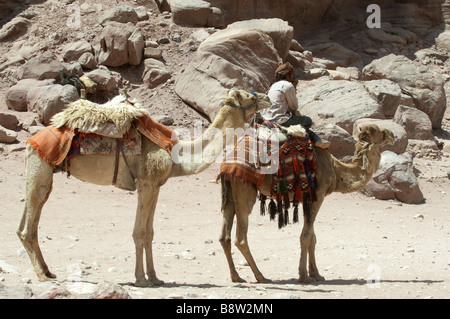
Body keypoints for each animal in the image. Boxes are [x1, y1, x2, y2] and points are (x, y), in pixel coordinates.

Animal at [16, 89, 270, 288]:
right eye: (249, 95)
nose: (266, 97)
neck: (176, 155)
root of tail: (31, 141)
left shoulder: (156, 186)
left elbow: (150, 232)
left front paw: (155, 278)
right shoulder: (146, 184)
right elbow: (138, 232)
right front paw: (140, 279)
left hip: (43, 174)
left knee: (31, 221)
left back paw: (48, 271)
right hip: (40, 167)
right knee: (27, 226)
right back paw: (41, 276)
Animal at [219, 124, 394, 284]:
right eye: (379, 131)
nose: (392, 135)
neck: (336, 170)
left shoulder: (308, 199)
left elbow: (313, 238)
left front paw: (317, 274)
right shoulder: (318, 195)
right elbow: (306, 236)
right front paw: (304, 276)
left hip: (229, 192)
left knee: (224, 236)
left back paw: (236, 276)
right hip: (244, 188)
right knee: (240, 238)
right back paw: (261, 277)